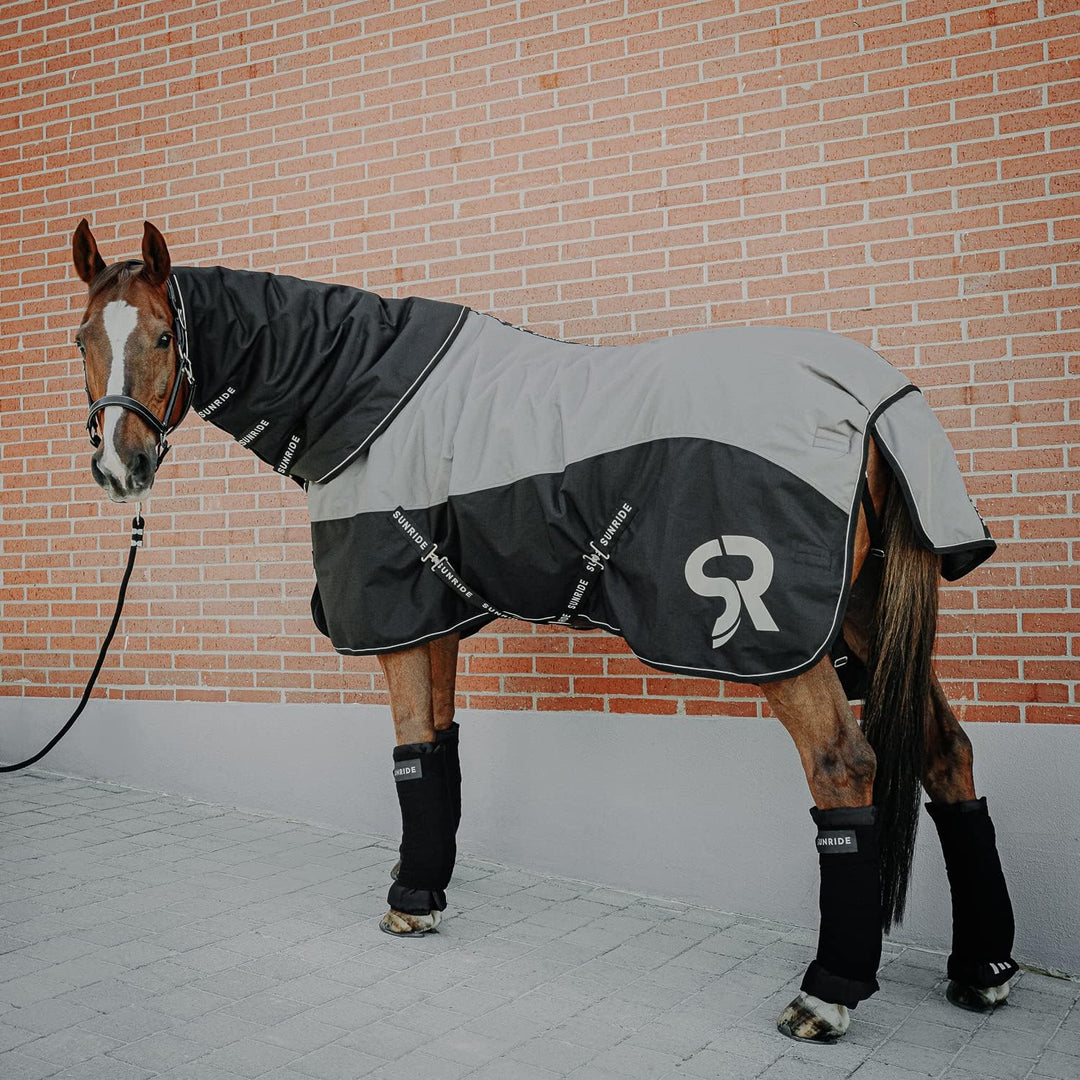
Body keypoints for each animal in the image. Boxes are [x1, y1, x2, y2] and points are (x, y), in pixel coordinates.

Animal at [68, 218, 1019, 1043]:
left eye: (163, 337)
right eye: (80, 339)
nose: (118, 469)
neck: (364, 390)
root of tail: (872, 401)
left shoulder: (396, 617)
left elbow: (409, 750)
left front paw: (406, 904)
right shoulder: (436, 615)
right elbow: (438, 753)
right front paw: (426, 893)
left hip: (783, 640)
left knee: (844, 768)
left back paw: (827, 995)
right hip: (863, 614)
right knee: (949, 754)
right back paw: (983, 969)